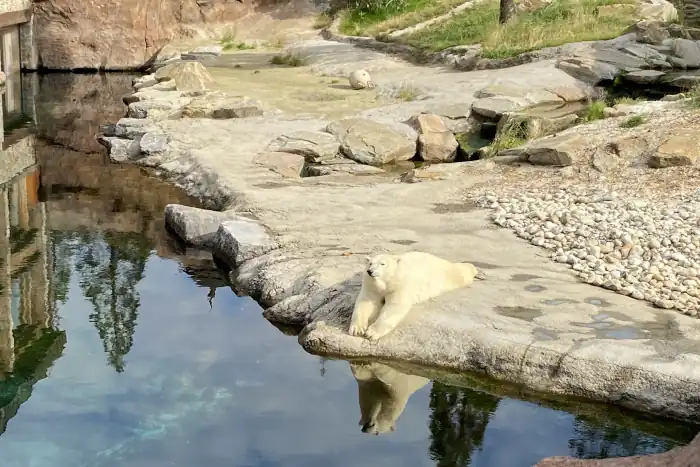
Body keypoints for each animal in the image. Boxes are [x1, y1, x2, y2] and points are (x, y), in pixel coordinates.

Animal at [348, 251, 480, 341]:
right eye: (370, 263)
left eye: (382, 264)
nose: (370, 271)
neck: (386, 282)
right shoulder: (371, 286)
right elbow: (366, 303)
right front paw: (357, 329)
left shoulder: (400, 285)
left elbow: (395, 306)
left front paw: (371, 333)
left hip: (445, 274)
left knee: (460, 273)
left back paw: (474, 269)